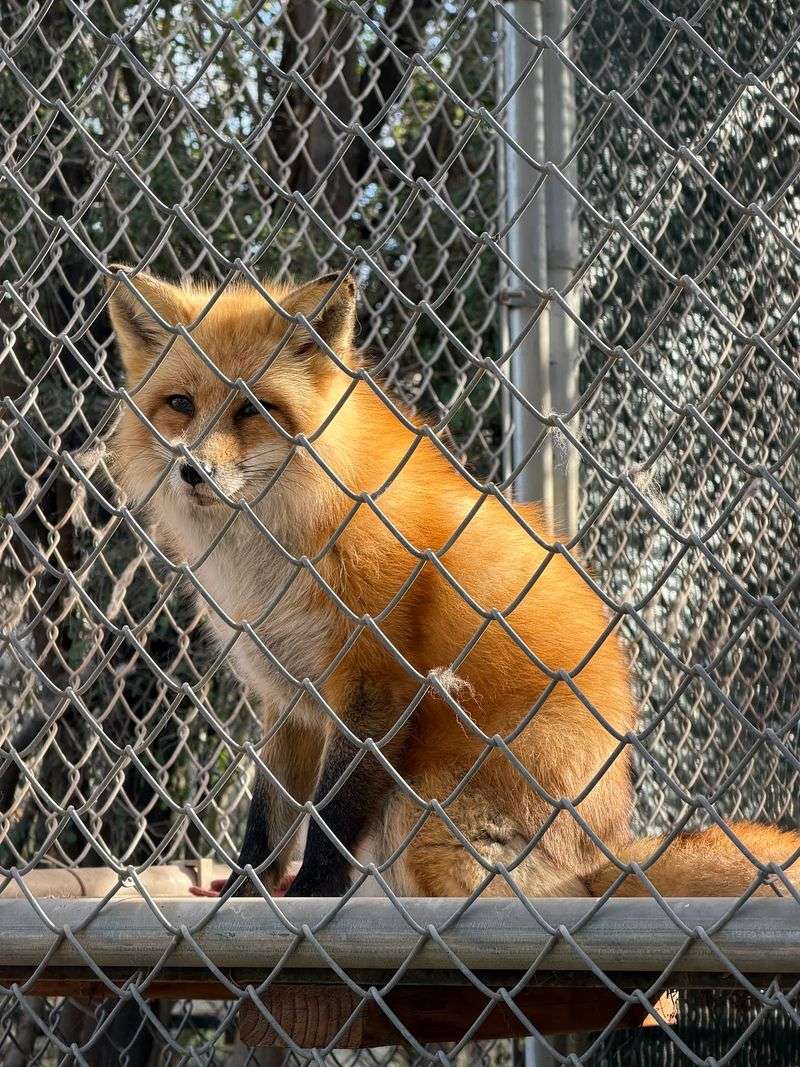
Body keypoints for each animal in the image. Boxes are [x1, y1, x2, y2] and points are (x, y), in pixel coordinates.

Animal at [105, 264, 800, 901]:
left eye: (254, 410)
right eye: (182, 404)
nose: (193, 471)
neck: (280, 546)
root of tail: (607, 854)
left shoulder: (376, 677)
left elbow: (332, 815)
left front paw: (312, 894)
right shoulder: (289, 691)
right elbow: (269, 817)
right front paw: (249, 892)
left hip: (427, 810)